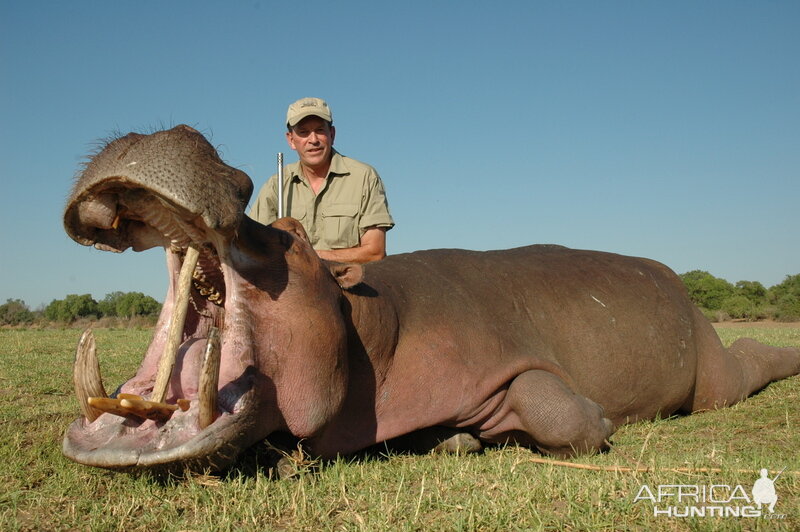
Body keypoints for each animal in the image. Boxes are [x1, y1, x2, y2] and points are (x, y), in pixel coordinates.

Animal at [62, 125, 800, 474]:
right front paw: (457, 439)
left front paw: (590, 420)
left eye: (294, 235)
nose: (167, 132)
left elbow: (560, 411)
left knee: (745, 361)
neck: (366, 321)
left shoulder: (500, 352)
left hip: (711, 370)